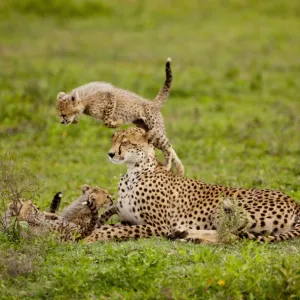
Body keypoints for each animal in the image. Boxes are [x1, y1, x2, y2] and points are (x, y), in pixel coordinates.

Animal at [84, 127, 300, 244]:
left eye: (125, 142)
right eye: (113, 140)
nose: (111, 154)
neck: (133, 172)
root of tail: (293, 201)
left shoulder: (157, 225)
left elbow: (112, 230)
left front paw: (90, 237)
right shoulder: (130, 220)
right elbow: (112, 225)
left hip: (225, 206)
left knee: (230, 236)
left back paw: (190, 236)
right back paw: (184, 234)